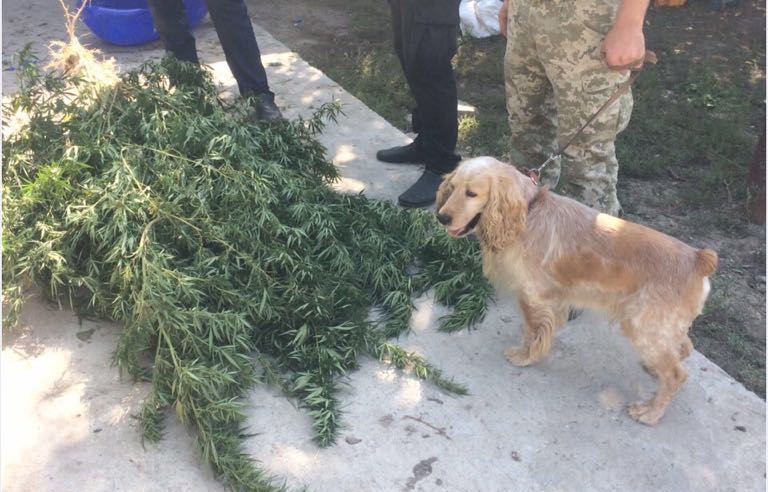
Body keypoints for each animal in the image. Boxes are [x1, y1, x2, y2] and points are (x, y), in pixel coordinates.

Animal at [436, 158, 716, 426]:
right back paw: (652, 370)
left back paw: (649, 413)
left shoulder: (532, 296)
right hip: (662, 327)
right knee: (683, 348)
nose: (442, 217)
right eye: (452, 187)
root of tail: (697, 259)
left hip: (643, 326)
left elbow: (533, 331)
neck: (528, 211)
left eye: (472, 193)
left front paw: (524, 356)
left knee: (676, 374)